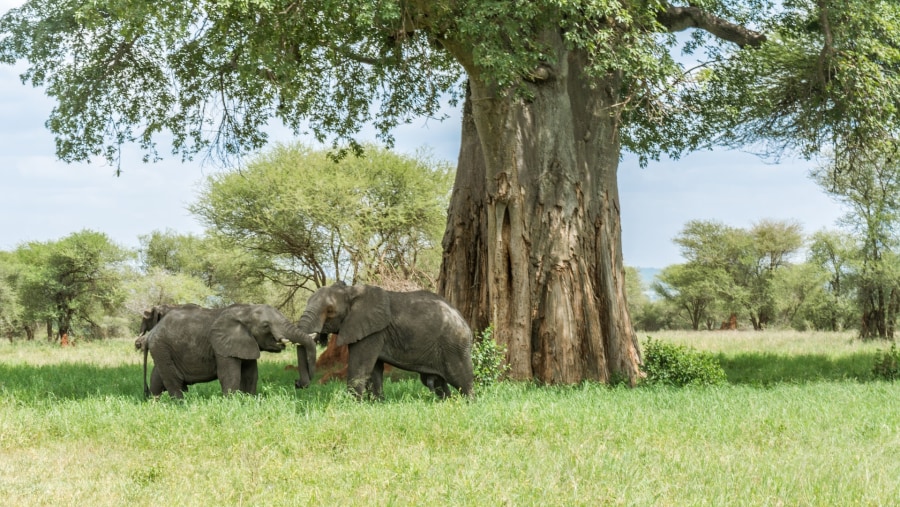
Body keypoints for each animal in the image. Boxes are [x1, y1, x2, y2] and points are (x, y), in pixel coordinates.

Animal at [142, 304, 318, 398]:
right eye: (265, 326)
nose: (297, 383)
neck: (246, 310)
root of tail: (152, 332)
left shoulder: (246, 343)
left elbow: (250, 374)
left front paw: (248, 400)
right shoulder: (222, 346)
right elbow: (230, 375)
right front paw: (231, 403)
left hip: (162, 349)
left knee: (157, 376)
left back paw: (155, 403)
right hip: (161, 346)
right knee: (173, 380)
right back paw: (181, 404)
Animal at [298, 282, 478, 400]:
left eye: (329, 311)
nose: (298, 384)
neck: (351, 291)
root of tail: (465, 322)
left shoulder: (373, 332)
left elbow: (360, 366)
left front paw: (351, 405)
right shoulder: (372, 332)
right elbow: (375, 369)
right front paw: (376, 403)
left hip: (454, 346)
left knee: (461, 380)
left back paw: (468, 404)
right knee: (437, 382)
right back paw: (447, 403)